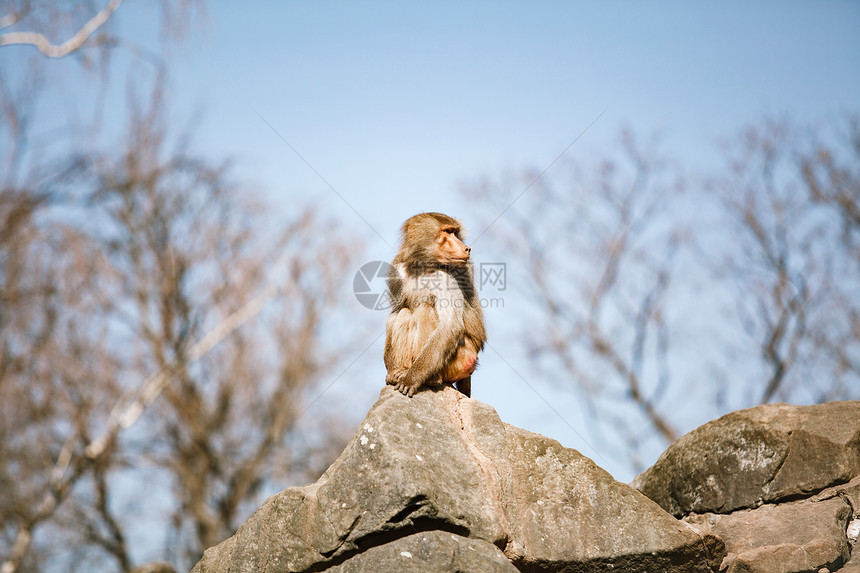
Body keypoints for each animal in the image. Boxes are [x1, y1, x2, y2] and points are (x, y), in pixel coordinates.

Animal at [382, 212, 484, 396]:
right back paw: (400, 371)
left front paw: (412, 379)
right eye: (448, 232)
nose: (467, 248)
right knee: (405, 312)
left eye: (455, 232)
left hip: (462, 359)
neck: (422, 267)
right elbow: (394, 313)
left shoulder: (445, 278)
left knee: (425, 309)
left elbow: (449, 326)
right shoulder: (396, 272)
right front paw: (391, 369)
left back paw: (430, 379)